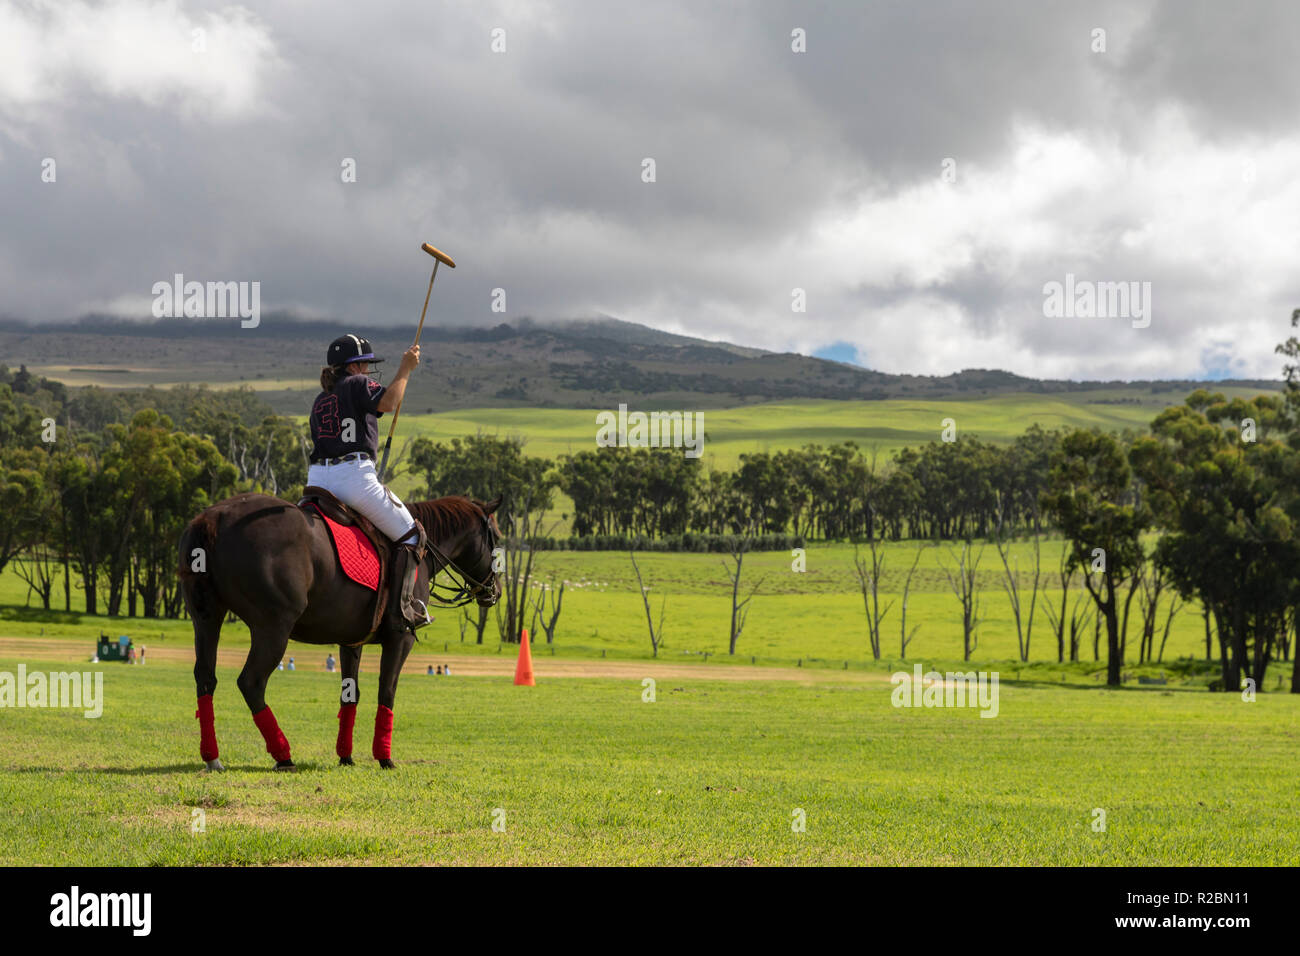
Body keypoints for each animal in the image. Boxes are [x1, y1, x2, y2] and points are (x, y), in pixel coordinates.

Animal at [174, 494, 496, 770]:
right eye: (496, 537)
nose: (493, 592)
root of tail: (213, 518)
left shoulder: (351, 641)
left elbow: (350, 694)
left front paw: (346, 756)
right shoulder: (400, 638)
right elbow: (387, 691)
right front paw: (384, 758)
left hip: (207, 618)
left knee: (205, 677)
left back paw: (212, 757)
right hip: (273, 627)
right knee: (251, 682)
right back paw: (283, 755)